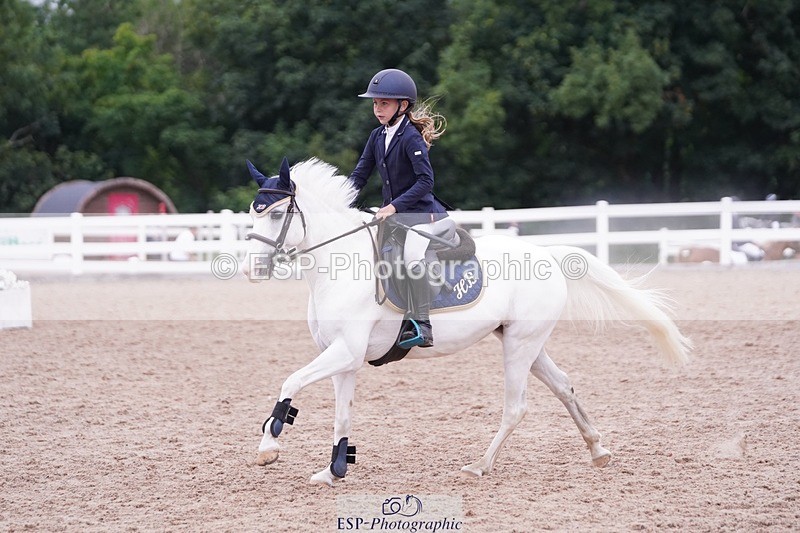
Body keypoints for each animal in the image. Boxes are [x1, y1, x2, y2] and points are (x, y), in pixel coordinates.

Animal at [240, 157, 692, 487]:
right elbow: (341, 414)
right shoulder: (344, 359)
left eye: (276, 214)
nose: (249, 270)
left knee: (516, 407)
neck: (339, 267)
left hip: (519, 346)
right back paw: (597, 450)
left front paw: (268, 447)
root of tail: (548, 253)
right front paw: (334, 471)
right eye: (252, 213)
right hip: (525, 341)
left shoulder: (345, 352)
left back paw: (479, 466)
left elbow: (291, 382)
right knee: (564, 386)